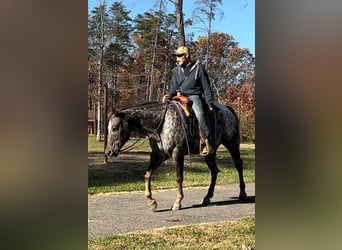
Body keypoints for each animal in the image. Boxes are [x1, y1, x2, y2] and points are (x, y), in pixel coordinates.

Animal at [104, 101, 246, 211]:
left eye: (115, 127)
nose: (109, 152)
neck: (161, 124)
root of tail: (227, 109)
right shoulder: (158, 155)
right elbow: (147, 174)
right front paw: (151, 201)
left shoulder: (177, 153)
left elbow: (179, 177)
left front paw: (177, 202)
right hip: (209, 153)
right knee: (214, 171)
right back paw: (207, 197)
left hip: (232, 143)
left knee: (238, 164)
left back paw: (242, 193)